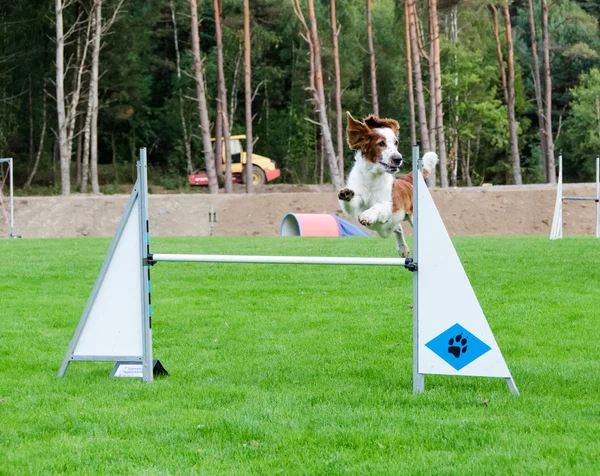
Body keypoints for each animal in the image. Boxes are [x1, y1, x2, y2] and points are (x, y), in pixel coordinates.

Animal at [338, 112, 440, 256]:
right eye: (381, 143)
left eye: (396, 142)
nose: (398, 159)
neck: (372, 177)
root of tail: (405, 179)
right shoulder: (356, 204)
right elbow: (350, 203)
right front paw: (346, 194)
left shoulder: (391, 206)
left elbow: (378, 205)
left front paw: (367, 215)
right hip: (388, 228)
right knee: (398, 229)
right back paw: (403, 248)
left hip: (412, 217)